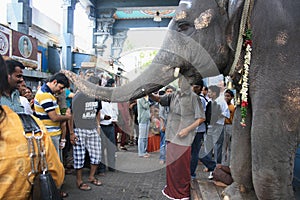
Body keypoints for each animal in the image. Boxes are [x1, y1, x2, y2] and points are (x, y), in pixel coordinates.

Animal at [63, 0, 300, 199]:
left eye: (184, 26)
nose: (66, 73)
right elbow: (243, 126)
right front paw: (233, 195)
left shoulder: (280, 49)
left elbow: (267, 133)